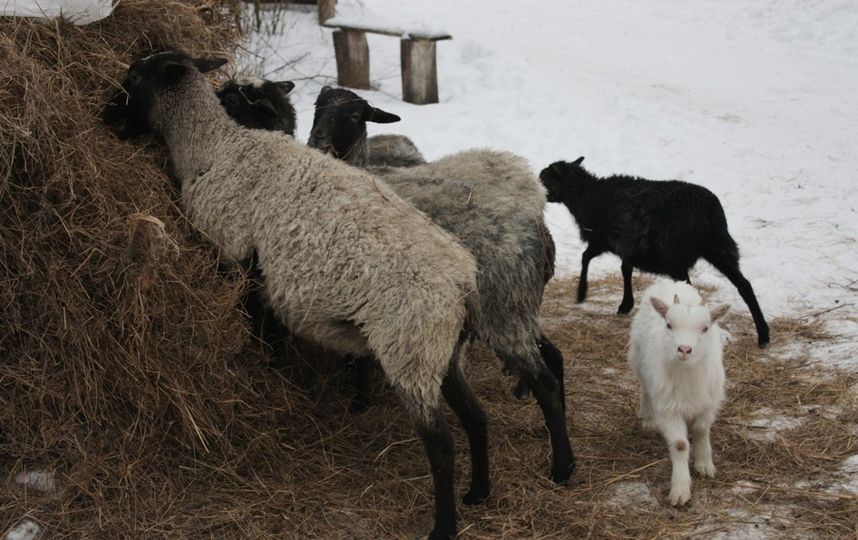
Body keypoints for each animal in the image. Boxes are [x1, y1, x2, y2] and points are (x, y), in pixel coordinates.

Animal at [540, 158, 768, 348]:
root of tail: (709, 212)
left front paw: (581, 292)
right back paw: (764, 335)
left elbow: (586, 257)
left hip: (676, 256)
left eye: (544, 179)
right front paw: (625, 304)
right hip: (720, 248)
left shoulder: (601, 239)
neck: (587, 196)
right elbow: (625, 269)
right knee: (744, 285)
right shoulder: (628, 246)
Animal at [624, 278, 724, 506]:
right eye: (669, 325)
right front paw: (680, 489)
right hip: (639, 359)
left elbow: (701, 429)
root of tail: (670, 281)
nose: (684, 349)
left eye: (705, 328)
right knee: (645, 386)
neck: (686, 374)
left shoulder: (708, 402)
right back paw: (647, 417)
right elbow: (680, 445)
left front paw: (704, 463)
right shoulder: (668, 408)